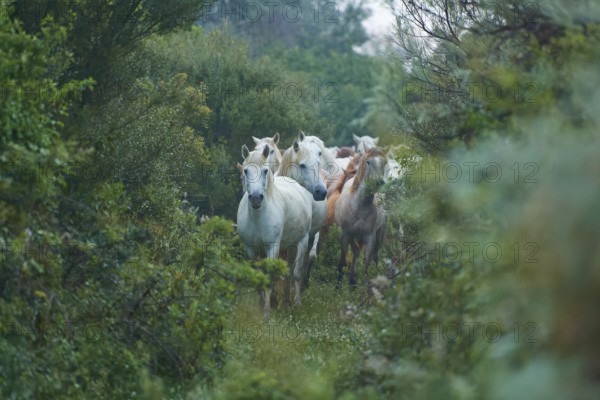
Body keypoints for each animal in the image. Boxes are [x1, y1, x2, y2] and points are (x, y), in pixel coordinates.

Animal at [237, 144, 312, 318]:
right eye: (246, 171)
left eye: (265, 171)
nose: (256, 198)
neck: (257, 216)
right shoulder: (251, 249)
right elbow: (258, 277)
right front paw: (261, 304)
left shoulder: (272, 247)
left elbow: (270, 277)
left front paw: (267, 313)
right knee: (288, 272)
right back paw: (285, 303)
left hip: (301, 243)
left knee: (295, 273)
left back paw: (295, 303)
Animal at [336, 147, 386, 288]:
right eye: (368, 161)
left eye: (385, 162)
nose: (379, 183)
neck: (360, 206)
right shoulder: (346, 234)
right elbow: (343, 261)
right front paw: (338, 285)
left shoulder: (370, 237)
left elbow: (366, 266)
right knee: (356, 251)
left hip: (380, 234)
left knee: (375, 256)